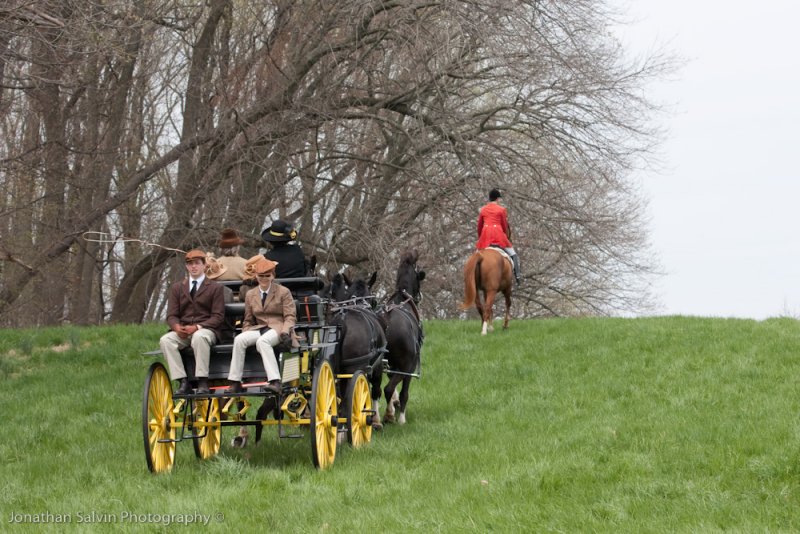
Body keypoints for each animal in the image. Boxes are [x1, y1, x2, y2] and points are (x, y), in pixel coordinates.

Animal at [376, 251, 424, 428]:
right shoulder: (409, 367)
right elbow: (403, 392)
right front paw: (401, 416)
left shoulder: (391, 366)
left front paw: (392, 408)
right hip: (406, 364)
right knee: (387, 389)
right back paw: (389, 417)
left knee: (376, 389)